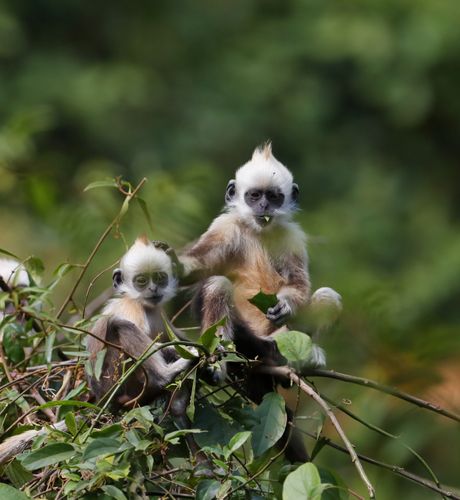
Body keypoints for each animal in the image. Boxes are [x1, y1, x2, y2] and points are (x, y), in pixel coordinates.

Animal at [180, 143, 342, 462]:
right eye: (254, 196)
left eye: (273, 197)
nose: (264, 207)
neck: (258, 231)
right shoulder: (225, 227)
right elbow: (199, 266)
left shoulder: (292, 237)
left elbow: (299, 285)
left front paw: (285, 305)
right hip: (248, 343)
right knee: (217, 285)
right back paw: (223, 363)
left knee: (327, 297)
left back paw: (301, 358)